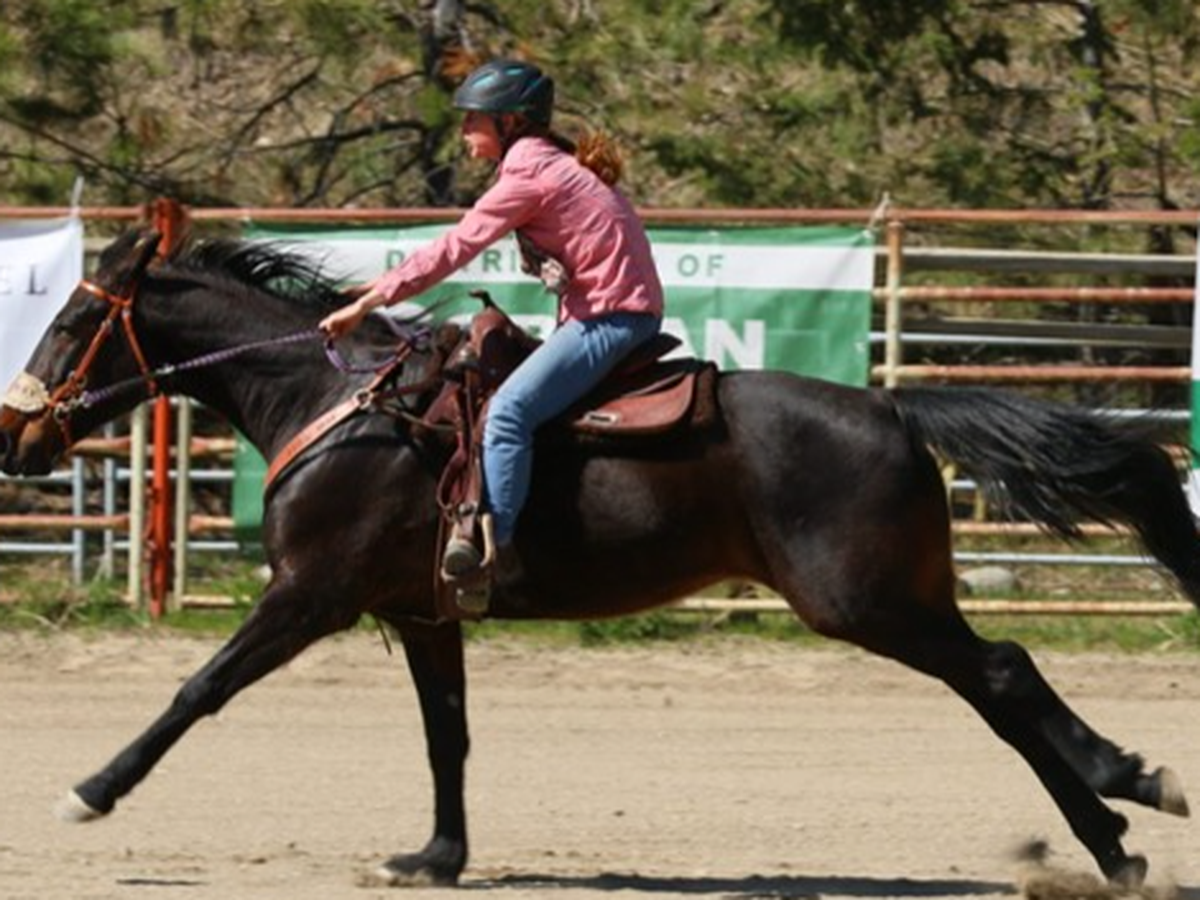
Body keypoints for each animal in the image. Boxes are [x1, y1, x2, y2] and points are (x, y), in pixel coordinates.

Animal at [3, 227, 1199, 888]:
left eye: (67, 328)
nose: (18, 440)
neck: (340, 408)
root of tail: (893, 407)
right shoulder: (426, 610)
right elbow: (448, 736)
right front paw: (436, 858)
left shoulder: (310, 595)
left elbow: (197, 689)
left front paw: (91, 791)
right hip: (887, 601)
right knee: (1002, 684)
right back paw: (1119, 826)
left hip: (867, 602)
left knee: (1002, 672)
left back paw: (1125, 798)